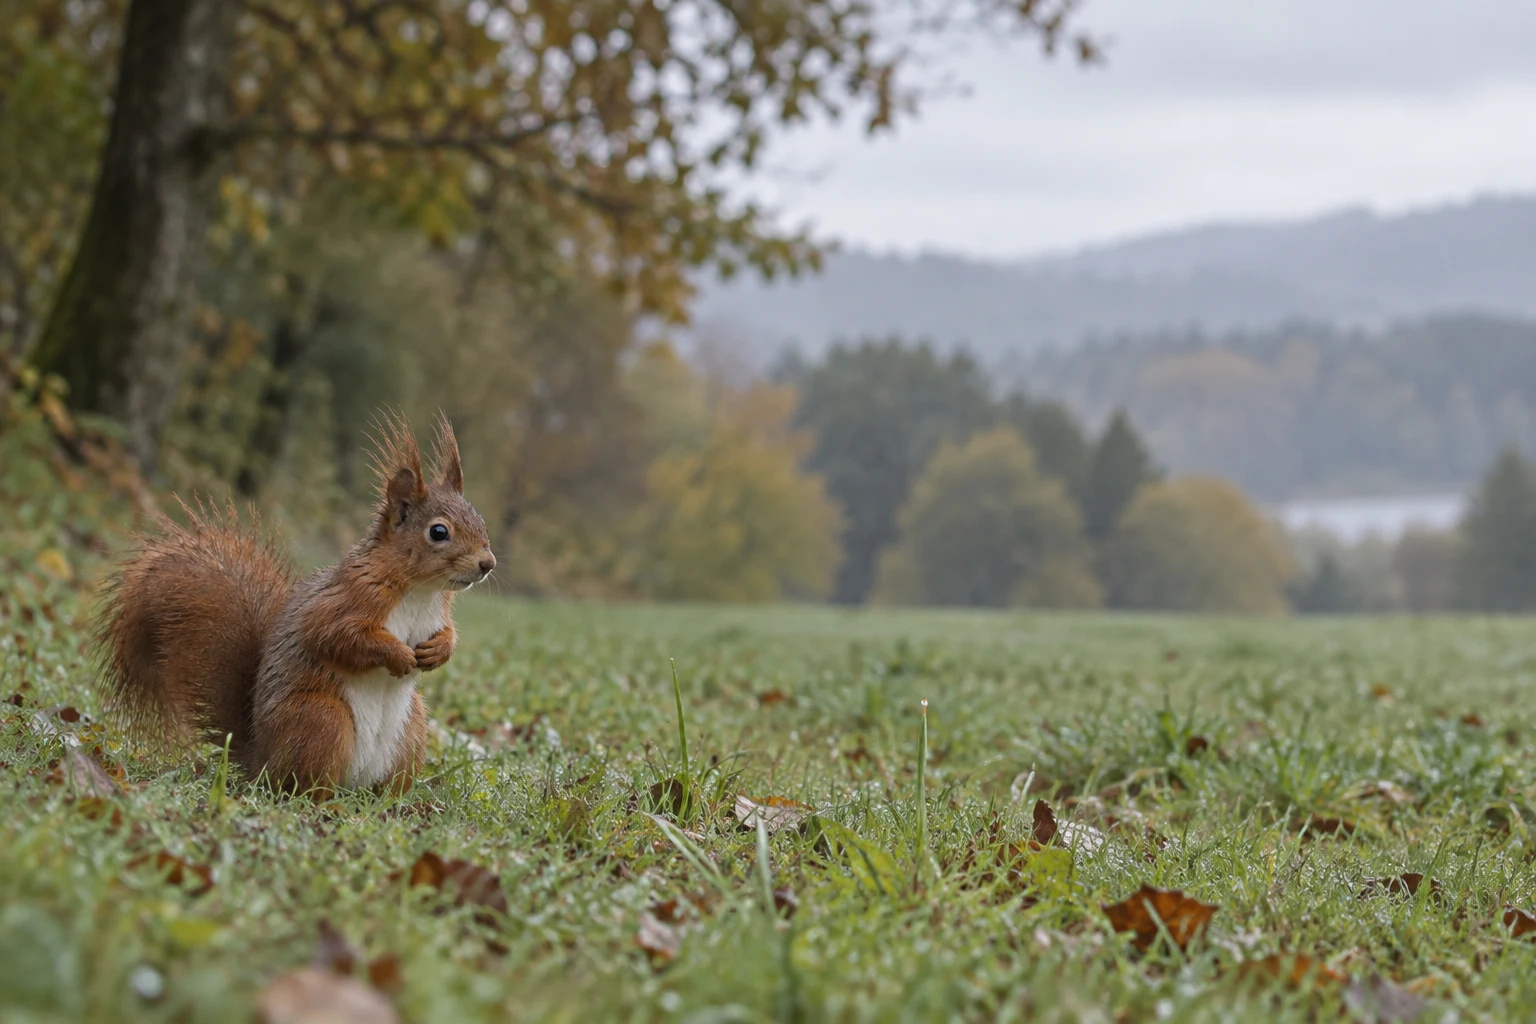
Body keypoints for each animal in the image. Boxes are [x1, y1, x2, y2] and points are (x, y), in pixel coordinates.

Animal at [93, 412, 495, 795]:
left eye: (480, 520)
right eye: (438, 532)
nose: (487, 564)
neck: (420, 590)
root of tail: (261, 762)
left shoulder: (438, 612)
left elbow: (448, 633)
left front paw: (439, 650)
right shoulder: (350, 597)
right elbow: (333, 635)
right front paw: (398, 655)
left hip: (411, 731)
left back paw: (394, 805)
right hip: (321, 719)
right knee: (304, 789)